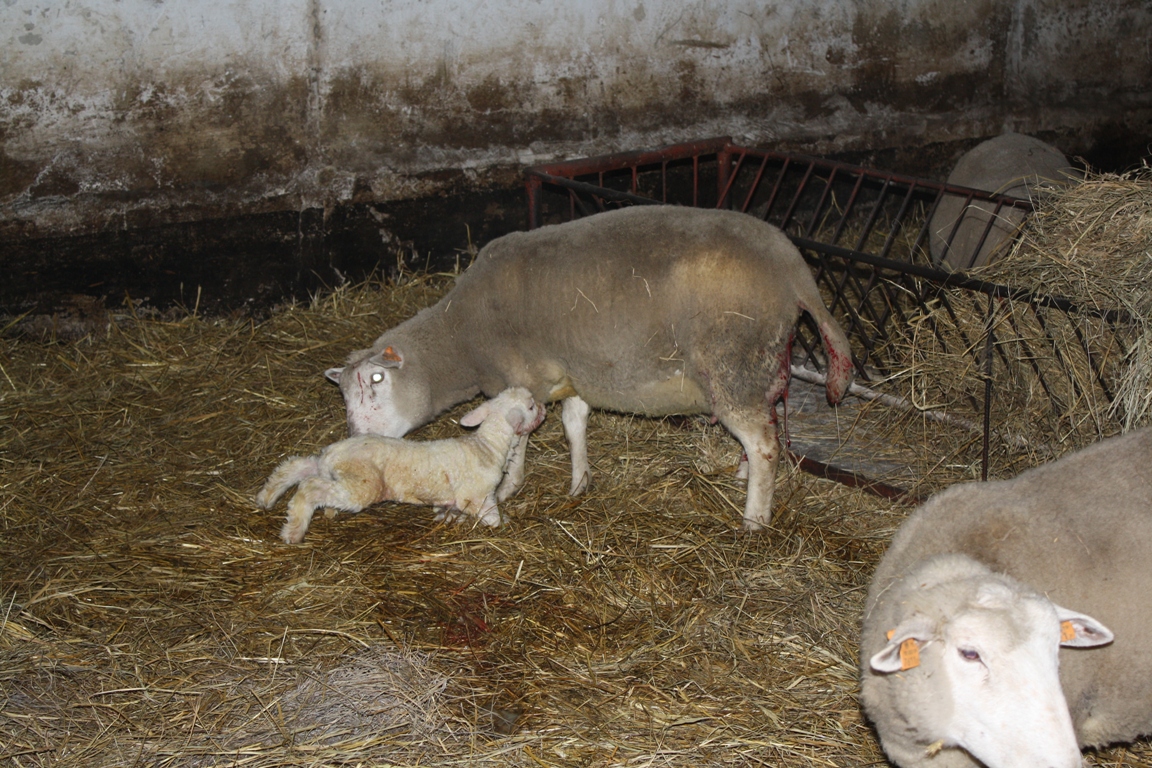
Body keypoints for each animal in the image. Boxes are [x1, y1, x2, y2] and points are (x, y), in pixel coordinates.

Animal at [256, 387, 545, 544]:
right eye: (531, 406)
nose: (544, 408)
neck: (487, 445)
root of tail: (333, 453)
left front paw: (446, 517)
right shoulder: (477, 497)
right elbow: (492, 518)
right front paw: (503, 523)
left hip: (333, 468)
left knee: (297, 466)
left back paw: (266, 496)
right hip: (361, 484)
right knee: (310, 487)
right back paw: (293, 531)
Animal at [324, 205, 854, 531]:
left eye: (376, 379)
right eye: (344, 393)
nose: (354, 437)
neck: (464, 335)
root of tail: (795, 271)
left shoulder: (523, 378)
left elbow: (515, 439)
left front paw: (508, 487)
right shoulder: (573, 370)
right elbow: (574, 424)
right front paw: (579, 482)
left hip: (731, 362)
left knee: (764, 444)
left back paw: (753, 520)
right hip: (758, 364)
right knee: (768, 418)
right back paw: (743, 476)